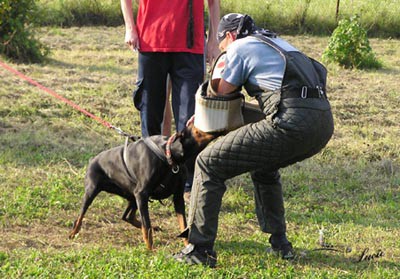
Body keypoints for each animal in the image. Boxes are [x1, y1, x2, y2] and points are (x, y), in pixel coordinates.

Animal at [69, 123, 219, 250]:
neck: (170, 157)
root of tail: (92, 160)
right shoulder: (142, 193)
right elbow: (147, 227)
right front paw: (150, 249)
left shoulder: (177, 197)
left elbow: (183, 225)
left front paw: (188, 246)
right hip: (93, 191)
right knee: (80, 216)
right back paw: (73, 232)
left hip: (132, 196)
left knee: (126, 216)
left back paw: (154, 227)